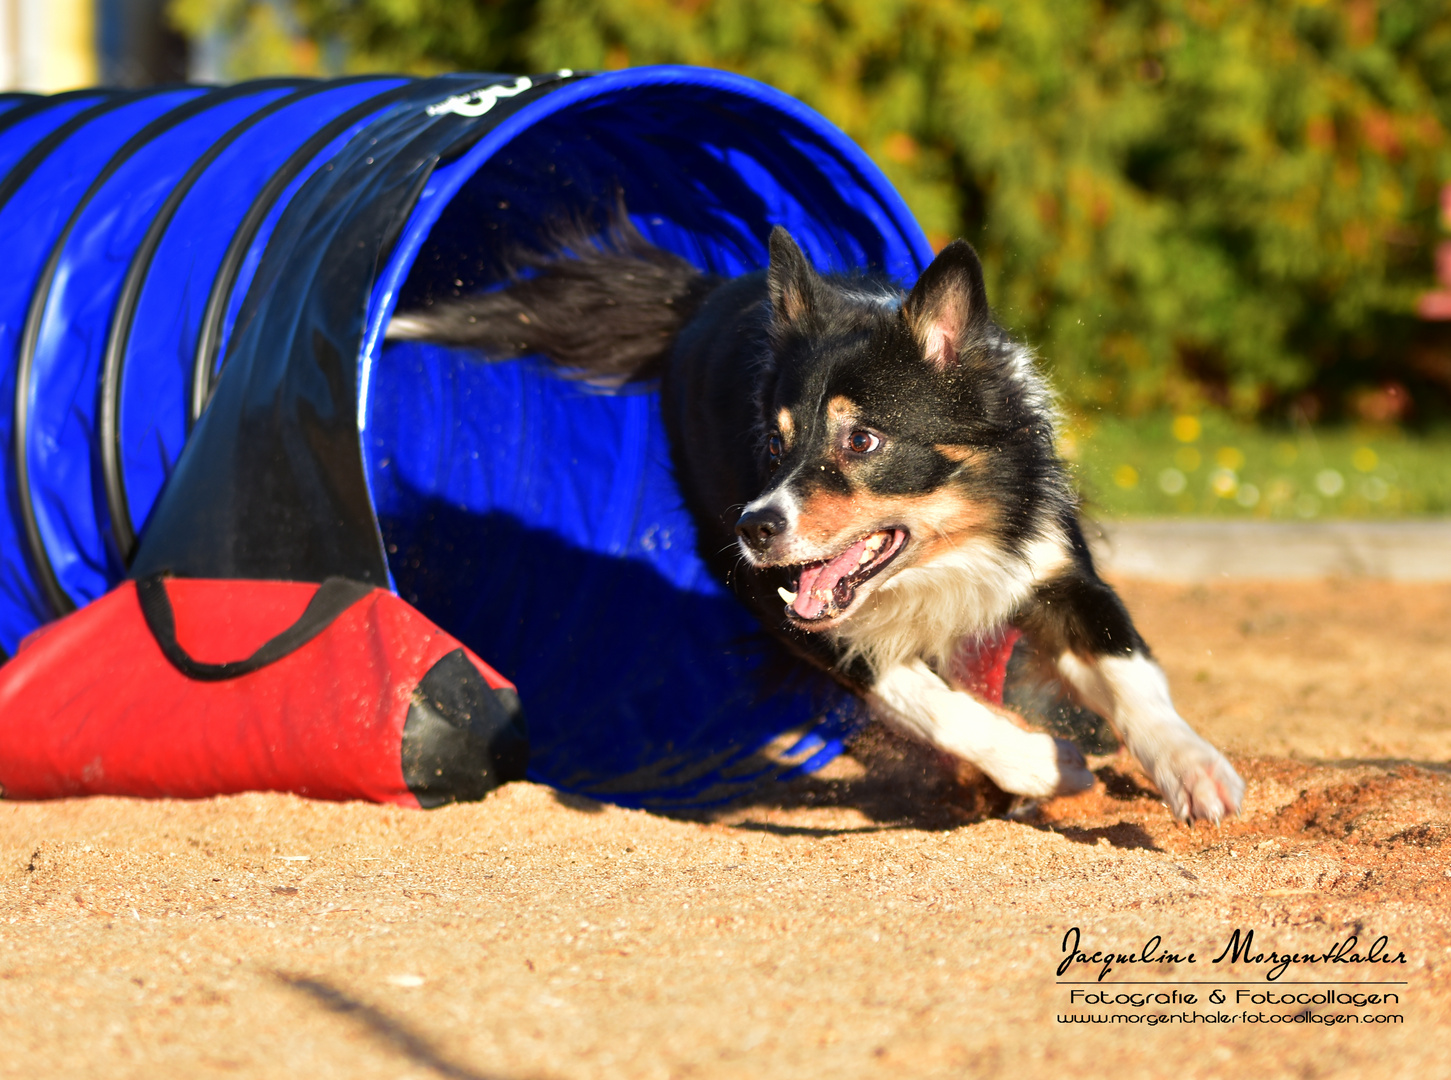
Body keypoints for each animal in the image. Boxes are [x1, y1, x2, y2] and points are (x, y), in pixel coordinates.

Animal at [388, 223, 1247, 824]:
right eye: (773, 443)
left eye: (860, 440)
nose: (755, 529)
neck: (944, 553)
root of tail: (702, 293)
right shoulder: (782, 609)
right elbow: (924, 699)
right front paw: (1045, 764)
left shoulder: (1051, 566)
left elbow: (1133, 677)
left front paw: (1194, 768)